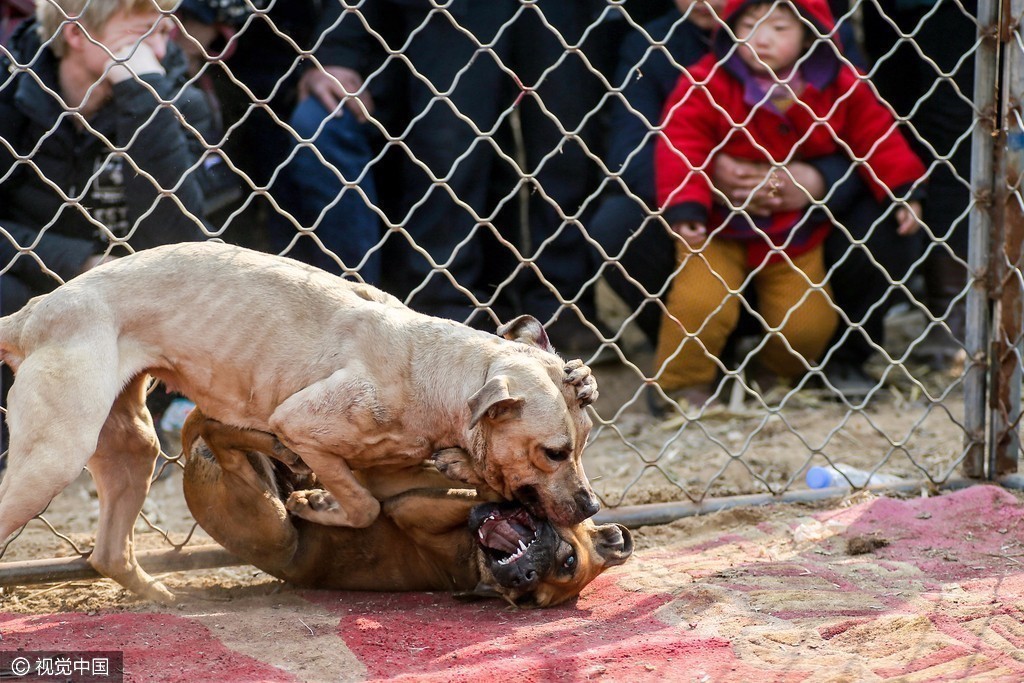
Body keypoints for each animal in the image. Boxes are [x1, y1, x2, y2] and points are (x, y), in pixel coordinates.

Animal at [0, 241, 598, 602]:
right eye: (553, 451)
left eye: (583, 443)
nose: (592, 505)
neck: (431, 370)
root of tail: (33, 312)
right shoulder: (302, 423)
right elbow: (362, 504)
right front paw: (316, 504)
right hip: (53, 459)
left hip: (131, 450)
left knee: (108, 551)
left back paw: (161, 599)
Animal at [183, 411, 630, 610]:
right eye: (570, 560)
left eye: (528, 599)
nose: (524, 574)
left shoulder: (411, 508)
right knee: (211, 427)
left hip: (267, 520)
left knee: (217, 437)